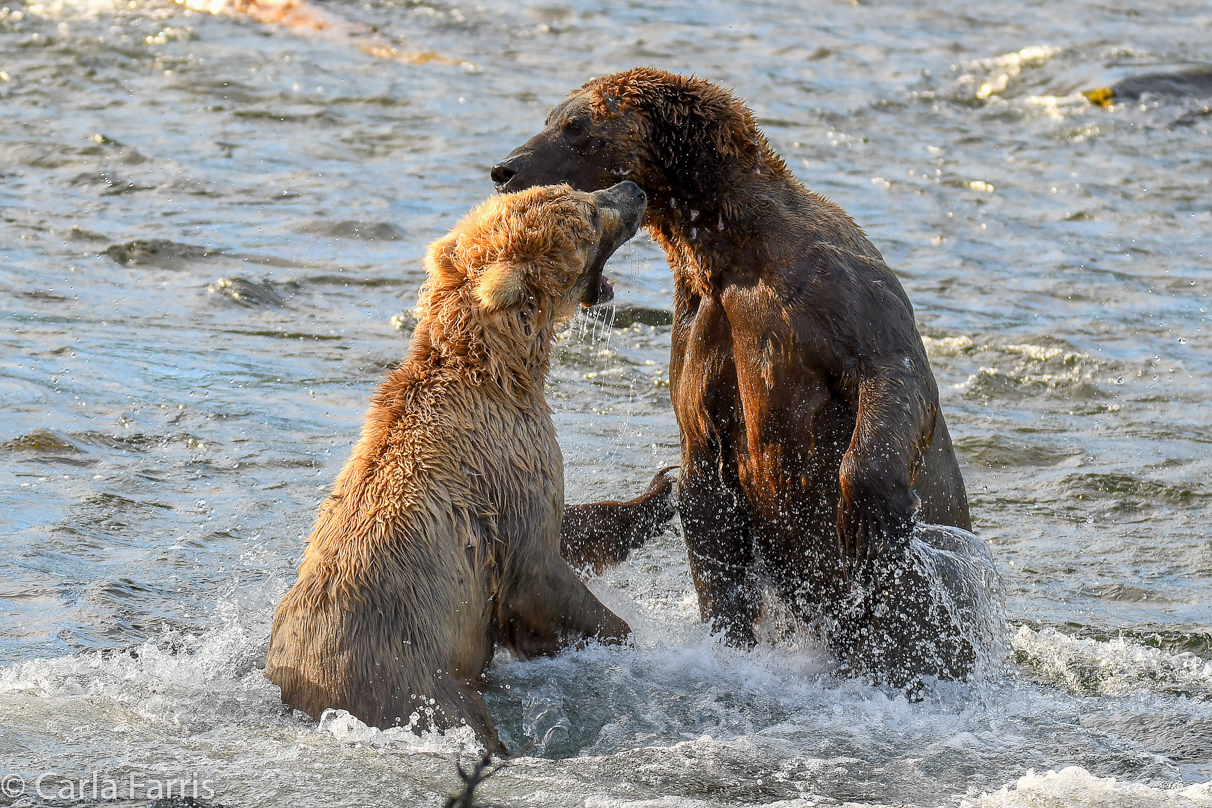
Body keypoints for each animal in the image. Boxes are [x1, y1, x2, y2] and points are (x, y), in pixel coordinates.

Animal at [496, 71, 979, 688]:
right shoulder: (700, 336)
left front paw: (868, 518)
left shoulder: (832, 288)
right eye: (552, 117)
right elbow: (707, 492)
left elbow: (890, 369)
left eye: (576, 126)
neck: (725, 251)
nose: (505, 169)